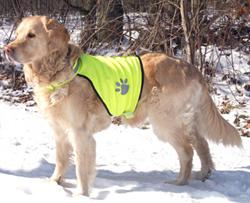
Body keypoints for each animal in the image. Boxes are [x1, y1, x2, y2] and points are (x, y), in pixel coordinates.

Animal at [3, 16, 242, 197]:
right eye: (18, 34)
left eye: (31, 35)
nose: (6, 49)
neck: (57, 70)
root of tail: (189, 66)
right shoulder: (60, 131)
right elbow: (61, 160)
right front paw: (54, 183)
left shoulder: (81, 133)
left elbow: (82, 168)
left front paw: (81, 194)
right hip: (185, 120)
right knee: (202, 144)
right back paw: (203, 174)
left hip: (165, 122)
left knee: (187, 151)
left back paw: (179, 183)